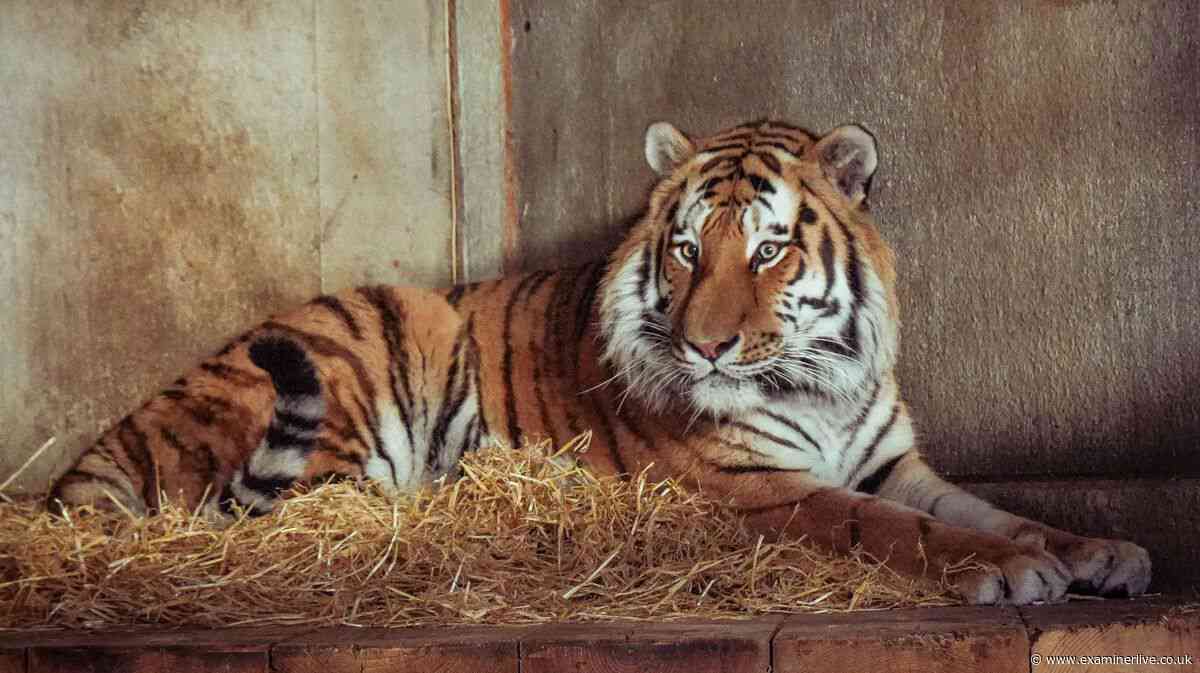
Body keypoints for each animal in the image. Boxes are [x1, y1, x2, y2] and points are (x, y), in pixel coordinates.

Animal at [48, 119, 1151, 605]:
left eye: (768, 250)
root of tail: (112, 438)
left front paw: (1097, 550)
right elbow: (890, 528)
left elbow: (991, 509)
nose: (706, 344)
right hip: (359, 362)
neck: (821, 381)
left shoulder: (894, 462)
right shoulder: (760, 488)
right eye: (686, 249)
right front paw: (1014, 572)